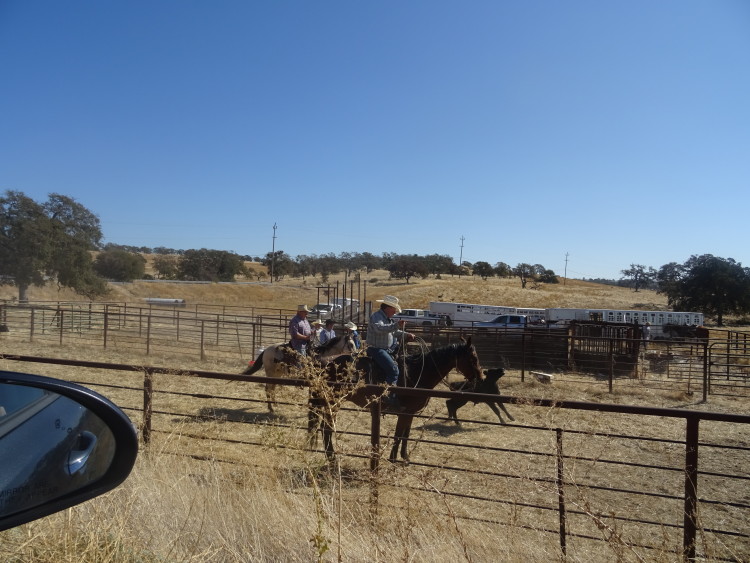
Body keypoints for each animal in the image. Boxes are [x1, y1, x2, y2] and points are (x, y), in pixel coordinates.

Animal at [308, 340, 484, 462]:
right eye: (473, 358)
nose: (480, 377)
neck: (418, 372)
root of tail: (324, 364)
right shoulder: (404, 413)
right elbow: (398, 435)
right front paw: (393, 459)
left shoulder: (410, 413)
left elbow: (405, 435)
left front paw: (404, 457)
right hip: (333, 403)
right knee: (326, 429)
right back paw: (332, 459)